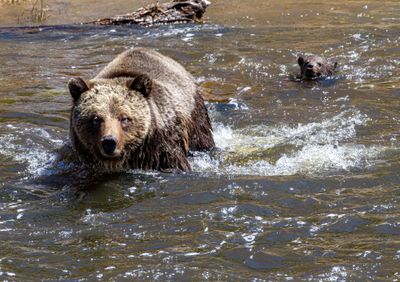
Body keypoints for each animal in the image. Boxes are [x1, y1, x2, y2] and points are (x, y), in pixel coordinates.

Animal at [63, 47, 216, 173]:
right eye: (96, 119)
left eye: (124, 118)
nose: (109, 142)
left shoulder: (161, 149)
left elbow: (175, 164)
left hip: (194, 116)